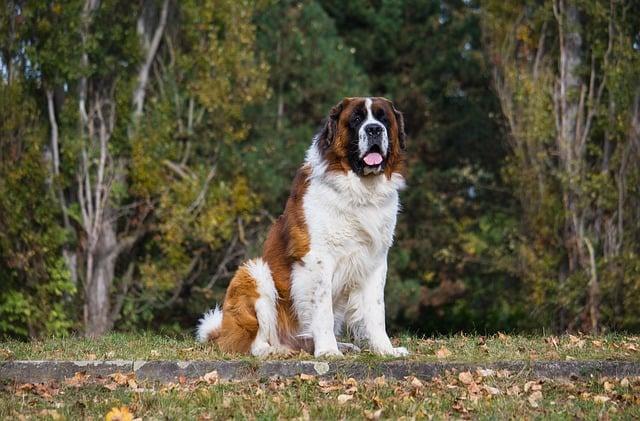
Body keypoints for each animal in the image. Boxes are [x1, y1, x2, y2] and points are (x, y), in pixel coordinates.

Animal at [195, 97, 408, 356]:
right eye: (357, 119)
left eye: (383, 118)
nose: (374, 129)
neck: (361, 192)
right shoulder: (318, 259)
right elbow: (323, 310)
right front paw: (328, 351)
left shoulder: (375, 260)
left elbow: (376, 310)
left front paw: (385, 350)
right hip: (254, 272)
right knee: (251, 343)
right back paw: (275, 351)